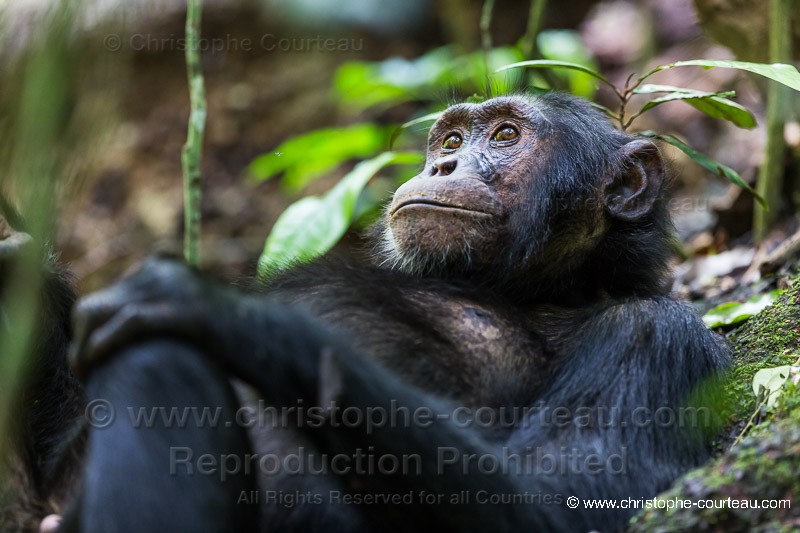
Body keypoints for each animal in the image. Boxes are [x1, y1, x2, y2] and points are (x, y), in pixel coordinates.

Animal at [0, 92, 728, 532]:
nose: (442, 165)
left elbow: (559, 498)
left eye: (505, 134)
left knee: (156, 356)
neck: (531, 289)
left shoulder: (657, 341)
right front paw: (19, 262)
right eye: (452, 138)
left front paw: (205, 301)